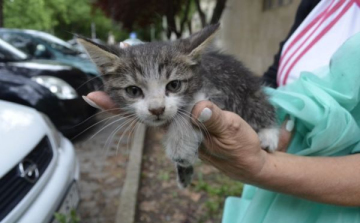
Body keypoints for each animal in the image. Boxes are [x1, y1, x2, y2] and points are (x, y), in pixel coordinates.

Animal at [79, 24, 280, 188]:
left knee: (262, 106)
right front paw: (184, 166)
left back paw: (268, 134)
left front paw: (180, 146)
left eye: (174, 85)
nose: (157, 109)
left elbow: (192, 105)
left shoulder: (217, 88)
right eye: (133, 91)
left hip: (246, 89)